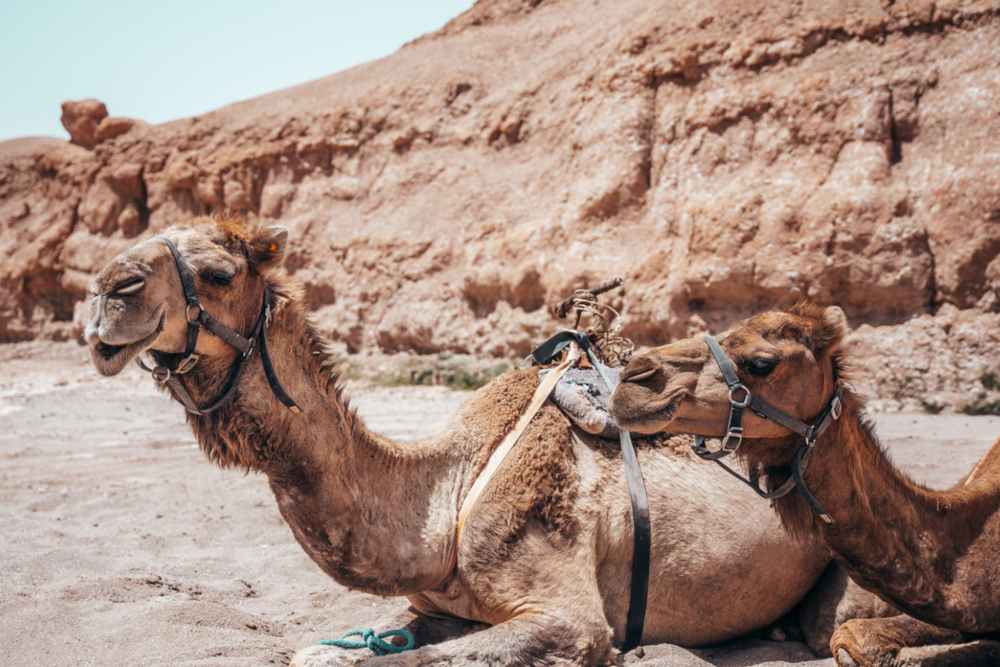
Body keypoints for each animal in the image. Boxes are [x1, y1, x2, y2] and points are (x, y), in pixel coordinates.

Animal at [82, 217, 840, 664]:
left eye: (219, 273)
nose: (109, 290)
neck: (446, 499)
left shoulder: (570, 615)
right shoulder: (426, 603)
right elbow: (323, 652)